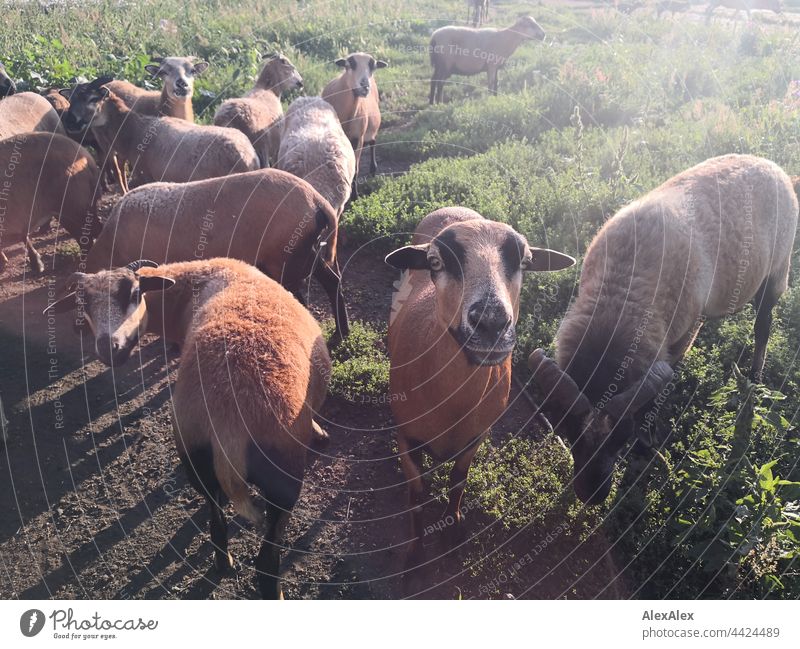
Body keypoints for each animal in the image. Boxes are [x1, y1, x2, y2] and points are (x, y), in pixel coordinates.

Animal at [44, 254, 332, 596]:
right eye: (83, 304)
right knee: (265, 559)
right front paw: (318, 431)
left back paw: (223, 563)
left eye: (134, 293)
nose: (108, 349)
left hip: (195, 456)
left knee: (215, 520)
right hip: (283, 476)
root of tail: (229, 420)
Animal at [86, 168, 348, 344]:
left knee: (320, 287)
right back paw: (341, 332)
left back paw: (339, 334)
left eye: (129, 297)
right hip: (310, 253)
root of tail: (316, 200)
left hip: (287, 256)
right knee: (331, 280)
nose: (109, 348)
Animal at [322, 51, 390, 195]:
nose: (364, 86)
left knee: (372, 142)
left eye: (373, 67)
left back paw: (373, 169)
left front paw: (355, 196)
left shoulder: (358, 137)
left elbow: (355, 169)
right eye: (349, 65)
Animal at [382, 208, 576, 576]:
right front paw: (415, 553)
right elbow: (418, 493)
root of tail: (454, 210)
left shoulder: (477, 436)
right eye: (435, 262)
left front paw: (452, 529)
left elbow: (458, 480)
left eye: (526, 261)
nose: (491, 323)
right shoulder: (405, 436)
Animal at [528, 153, 796, 506]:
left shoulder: (682, 332)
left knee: (763, 326)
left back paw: (754, 378)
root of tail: (770, 164)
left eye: (623, 436)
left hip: (778, 270)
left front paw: (649, 437)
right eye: (567, 428)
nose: (591, 495)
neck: (622, 292)